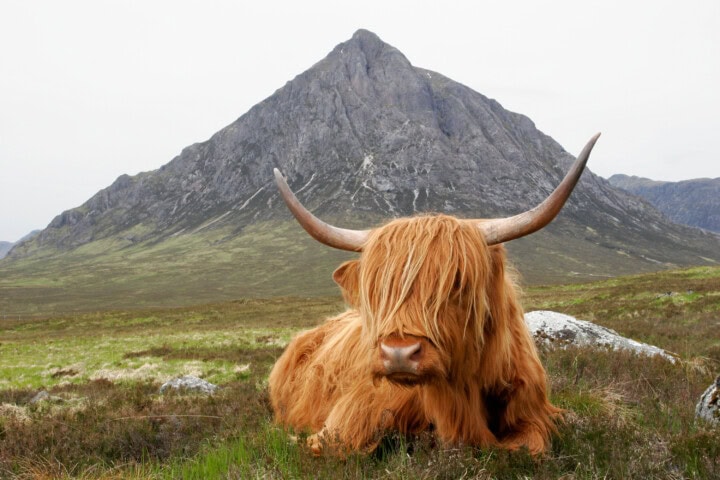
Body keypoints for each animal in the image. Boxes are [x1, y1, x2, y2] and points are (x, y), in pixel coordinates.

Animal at [268, 133, 600, 455]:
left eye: (457, 282)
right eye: (378, 289)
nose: (399, 354)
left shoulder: (534, 412)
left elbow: (529, 448)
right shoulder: (351, 413)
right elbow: (336, 446)